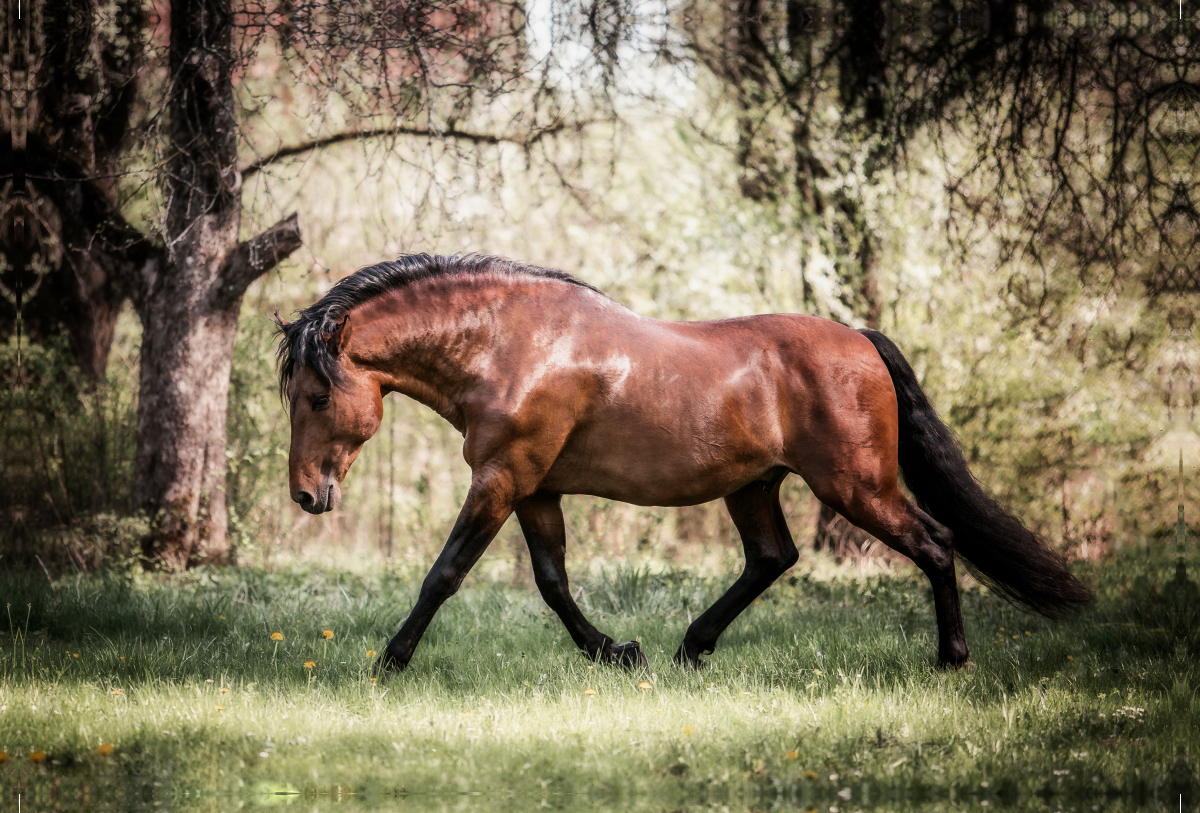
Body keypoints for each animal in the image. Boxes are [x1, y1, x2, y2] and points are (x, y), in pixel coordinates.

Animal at [276, 254, 1094, 676]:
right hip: (754, 487)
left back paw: (951, 658)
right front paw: (617, 651)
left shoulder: (503, 480)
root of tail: (861, 339)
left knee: (935, 542)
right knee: (772, 557)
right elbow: (553, 583)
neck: (511, 345)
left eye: (317, 395)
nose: (307, 495)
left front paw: (390, 660)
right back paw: (690, 646)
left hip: (856, 486)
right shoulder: (534, 489)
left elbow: (445, 573)